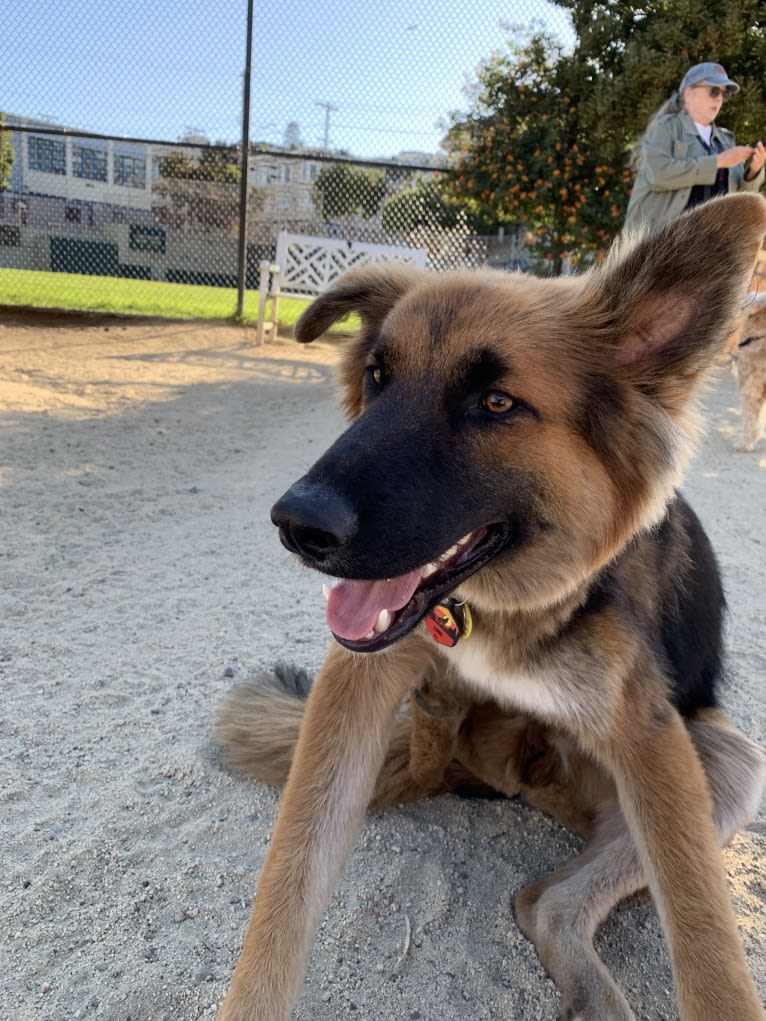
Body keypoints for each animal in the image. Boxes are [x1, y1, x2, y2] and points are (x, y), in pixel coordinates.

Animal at [214, 192, 766, 1021]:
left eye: (496, 403)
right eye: (377, 376)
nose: (296, 523)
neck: (502, 610)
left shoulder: (651, 736)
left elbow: (706, 941)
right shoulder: (357, 678)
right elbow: (290, 878)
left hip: (728, 762)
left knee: (550, 900)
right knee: (536, 892)